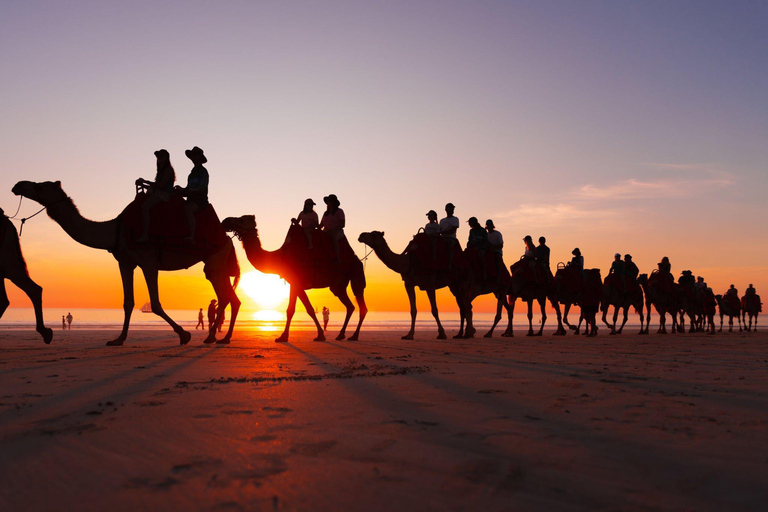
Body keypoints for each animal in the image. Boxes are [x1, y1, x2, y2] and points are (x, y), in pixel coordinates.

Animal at [12, 182, 240, 346]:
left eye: (41, 186)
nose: (18, 185)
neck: (116, 229)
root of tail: (227, 238)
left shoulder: (148, 262)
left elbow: (155, 303)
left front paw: (184, 335)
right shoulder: (125, 262)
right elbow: (127, 302)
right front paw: (118, 339)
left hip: (215, 258)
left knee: (224, 295)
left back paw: (213, 337)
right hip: (217, 263)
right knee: (229, 298)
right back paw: (220, 337)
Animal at [225, 214, 366, 342]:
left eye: (241, 219)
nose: (226, 220)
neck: (280, 257)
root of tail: (357, 259)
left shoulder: (296, 282)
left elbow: (300, 309)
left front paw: (287, 336)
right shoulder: (294, 283)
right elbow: (299, 309)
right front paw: (287, 336)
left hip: (356, 274)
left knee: (362, 306)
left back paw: (354, 336)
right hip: (338, 286)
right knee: (350, 306)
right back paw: (341, 335)